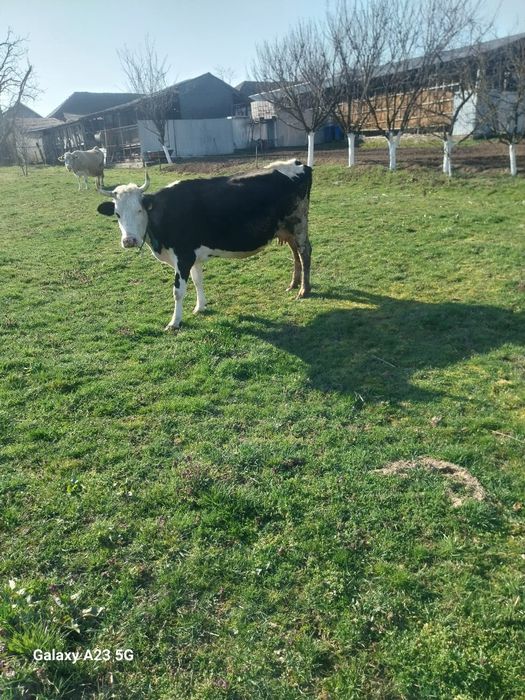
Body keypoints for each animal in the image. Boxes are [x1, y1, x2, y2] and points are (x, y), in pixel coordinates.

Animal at [96, 159, 312, 331]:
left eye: (140, 210)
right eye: (117, 214)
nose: (129, 241)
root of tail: (298, 163)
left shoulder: (183, 256)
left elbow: (178, 291)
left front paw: (174, 322)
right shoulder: (193, 256)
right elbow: (198, 280)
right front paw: (200, 307)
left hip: (299, 223)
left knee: (304, 252)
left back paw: (304, 290)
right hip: (286, 228)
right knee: (295, 252)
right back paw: (294, 284)